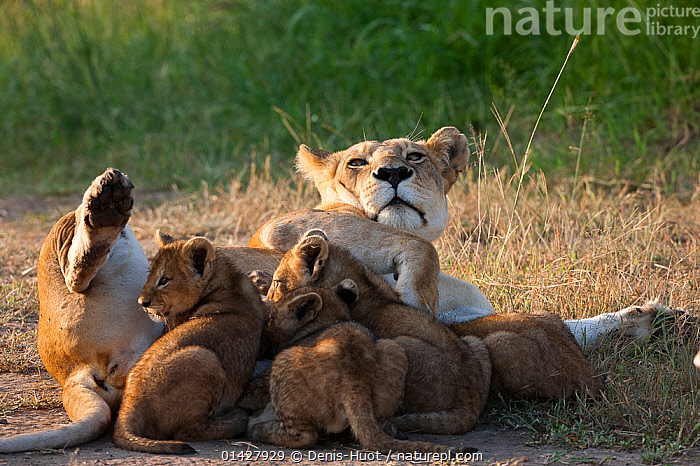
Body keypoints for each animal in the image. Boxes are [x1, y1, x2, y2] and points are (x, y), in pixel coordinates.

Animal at [113, 234, 266, 454]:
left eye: (164, 280)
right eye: (150, 275)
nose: (142, 302)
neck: (227, 282)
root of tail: (129, 406)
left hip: (204, 357)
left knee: (187, 432)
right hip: (205, 358)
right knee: (186, 433)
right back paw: (236, 418)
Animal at [251, 279, 464, 453]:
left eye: (272, 318)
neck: (332, 319)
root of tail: (354, 381)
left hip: (283, 360)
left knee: (305, 436)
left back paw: (257, 428)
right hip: (394, 348)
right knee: (382, 423)